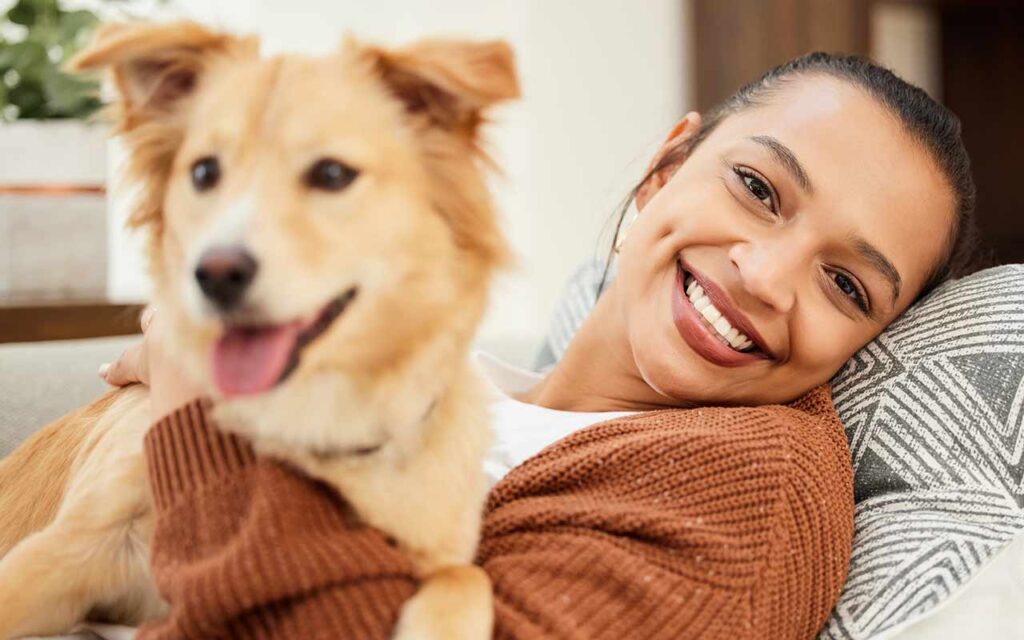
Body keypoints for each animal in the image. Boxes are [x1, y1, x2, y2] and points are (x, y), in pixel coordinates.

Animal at [0, 19, 516, 638]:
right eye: (203, 172)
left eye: (332, 174)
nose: (215, 273)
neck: (309, 417)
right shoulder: (71, 544)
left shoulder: (435, 548)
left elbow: (467, 578)